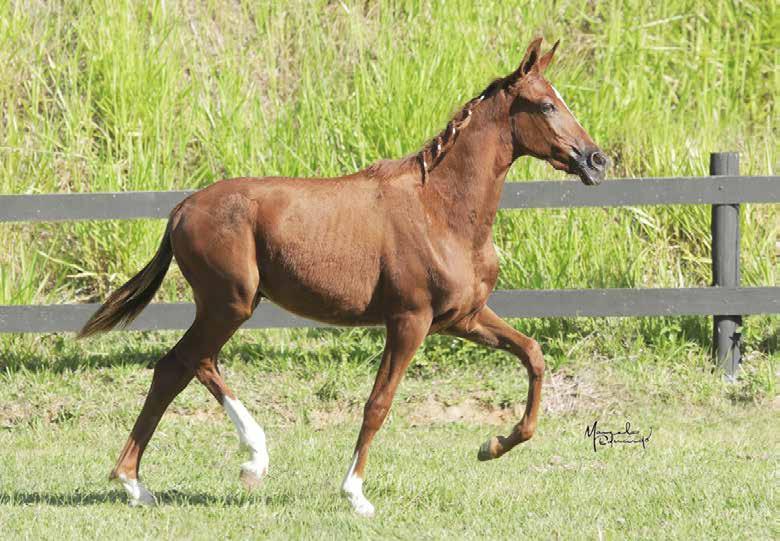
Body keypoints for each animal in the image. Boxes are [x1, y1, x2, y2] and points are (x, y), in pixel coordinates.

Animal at [79, 38, 608, 516]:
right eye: (546, 104)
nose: (596, 160)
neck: (440, 211)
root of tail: (181, 208)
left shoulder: (464, 317)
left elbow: (533, 354)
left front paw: (493, 444)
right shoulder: (409, 321)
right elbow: (379, 403)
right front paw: (355, 495)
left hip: (229, 307)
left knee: (194, 364)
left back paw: (196, 472)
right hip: (230, 304)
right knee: (179, 365)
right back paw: (154, 478)